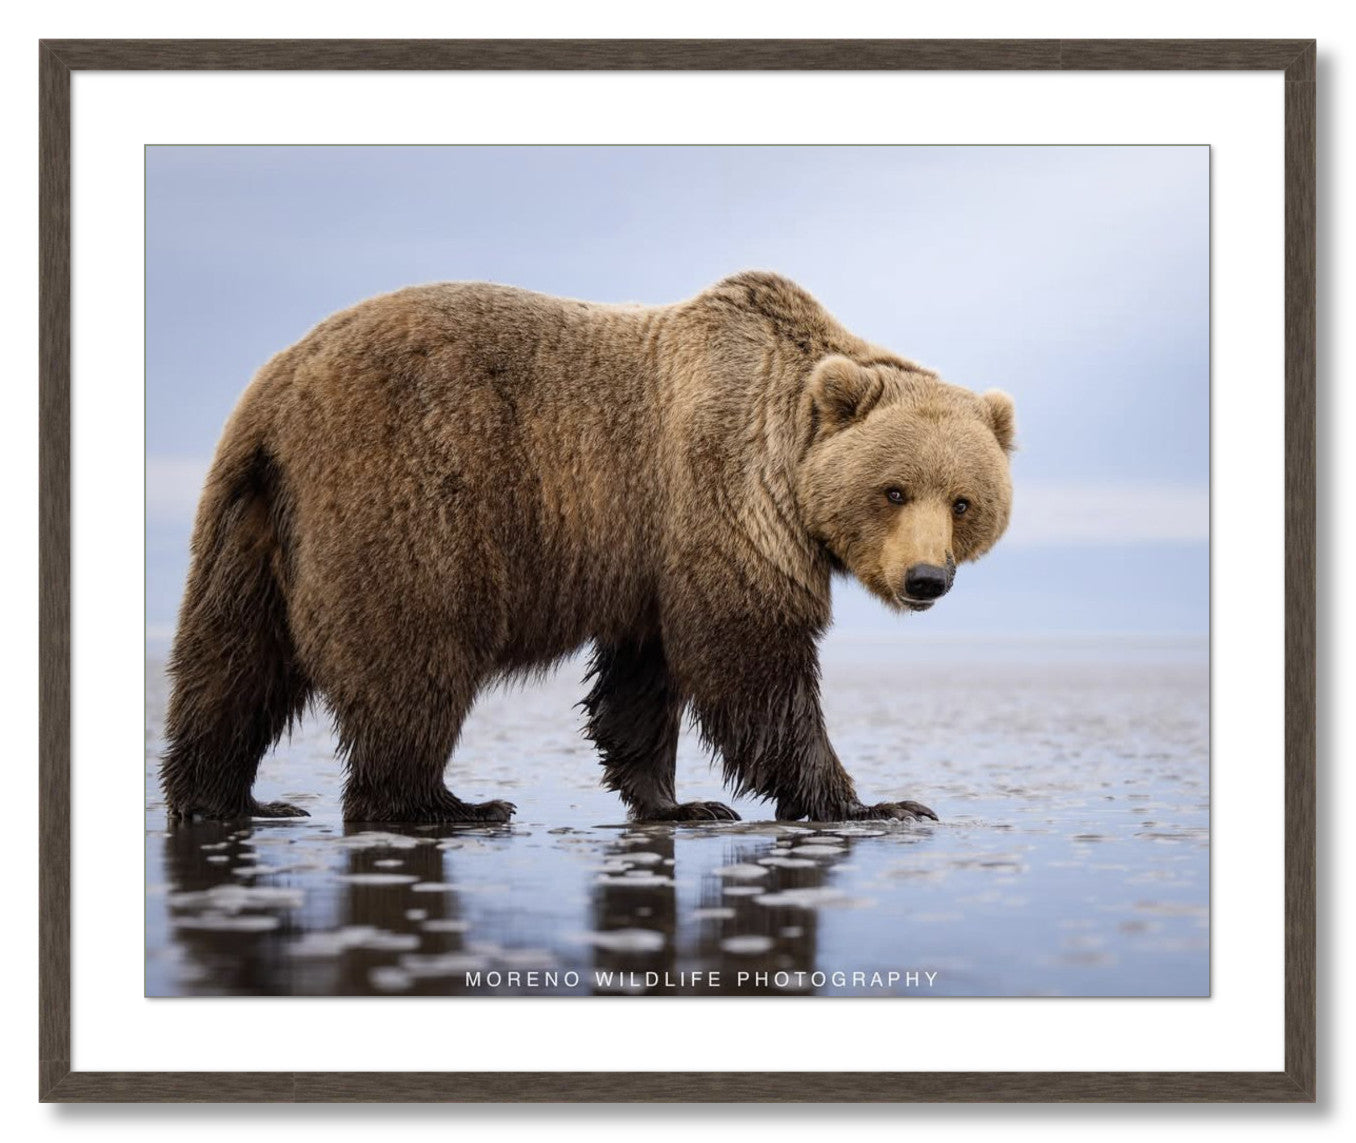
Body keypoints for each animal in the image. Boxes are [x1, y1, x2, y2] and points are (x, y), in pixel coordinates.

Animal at [160, 271, 1015, 825]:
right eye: (894, 490)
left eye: (964, 501)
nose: (926, 578)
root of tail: (277, 391)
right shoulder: (722, 497)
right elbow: (751, 660)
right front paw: (876, 802)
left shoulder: (649, 553)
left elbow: (644, 677)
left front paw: (678, 801)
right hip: (404, 493)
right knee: (412, 657)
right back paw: (444, 802)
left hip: (250, 521)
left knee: (233, 662)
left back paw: (228, 797)